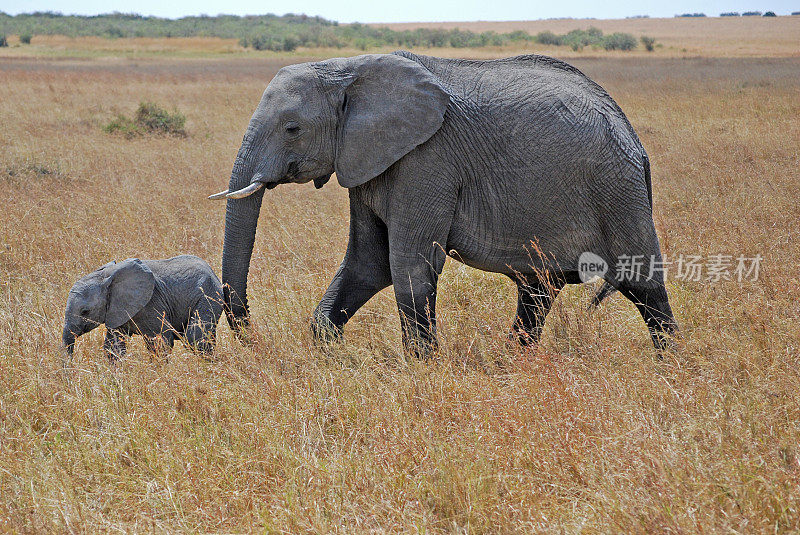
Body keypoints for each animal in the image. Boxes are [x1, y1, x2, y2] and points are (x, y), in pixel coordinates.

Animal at [61, 256, 225, 360]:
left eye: (85, 312)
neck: (106, 276)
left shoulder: (151, 304)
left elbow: (160, 342)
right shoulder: (116, 310)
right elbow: (113, 347)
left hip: (208, 296)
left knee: (195, 339)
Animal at [209, 51, 680, 356]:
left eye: (292, 128)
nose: (254, 341)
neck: (348, 69)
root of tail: (635, 140)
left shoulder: (428, 160)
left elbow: (408, 264)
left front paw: (422, 366)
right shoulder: (368, 160)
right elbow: (368, 262)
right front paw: (329, 352)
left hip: (617, 190)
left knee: (642, 284)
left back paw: (669, 365)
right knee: (538, 288)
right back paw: (513, 363)